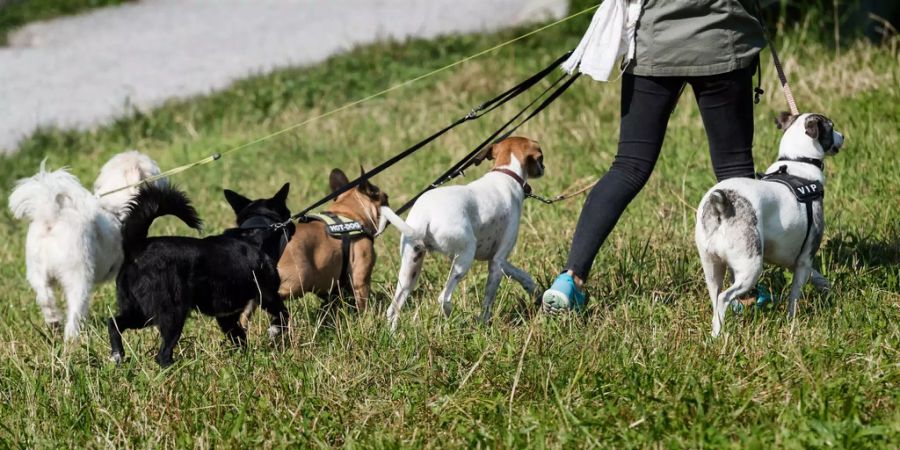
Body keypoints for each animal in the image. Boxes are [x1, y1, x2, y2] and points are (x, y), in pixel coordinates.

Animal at [9, 151, 167, 342]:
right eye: (155, 171)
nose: (165, 180)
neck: (117, 207)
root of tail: (51, 217)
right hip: (79, 277)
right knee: (74, 314)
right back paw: (73, 340)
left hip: (36, 271)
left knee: (45, 297)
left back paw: (54, 321)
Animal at [107, 182, 294, 366]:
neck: (255, 234)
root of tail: (138, 247)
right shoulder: (268, 295)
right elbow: (284, 315)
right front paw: (274, 331)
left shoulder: (227, 317)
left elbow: (239, 337)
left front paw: (245, 360)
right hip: (172, 313)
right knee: (162, 354)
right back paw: (174, 368)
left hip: (141, 312)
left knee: (114, 323)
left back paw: (117, 356)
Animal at [696, 113, 844, 338]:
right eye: (831, 126)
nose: (843, 136)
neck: (796, 162)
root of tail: (722, 205)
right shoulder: (804, 259)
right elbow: (794, 296)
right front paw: (792, 321)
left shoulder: (796, 260)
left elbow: (818, 277)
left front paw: (828, 290)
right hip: (751, 267)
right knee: (723, 298)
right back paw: (720, 336)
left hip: (711, 267)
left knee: (715, 298)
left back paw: (715, 333)